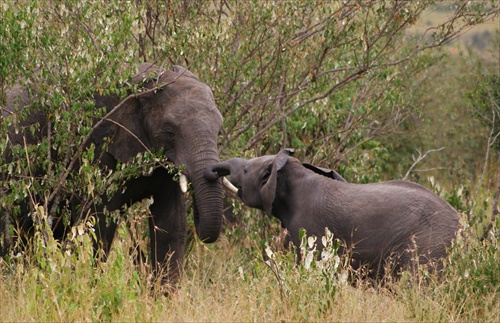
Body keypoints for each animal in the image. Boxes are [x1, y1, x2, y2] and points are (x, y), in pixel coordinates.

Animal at [1, 62, 225, 288]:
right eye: (169, 131)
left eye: (219, 131)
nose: (214, 172)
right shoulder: (96, 145)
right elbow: (97, 226)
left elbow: (171, 224)